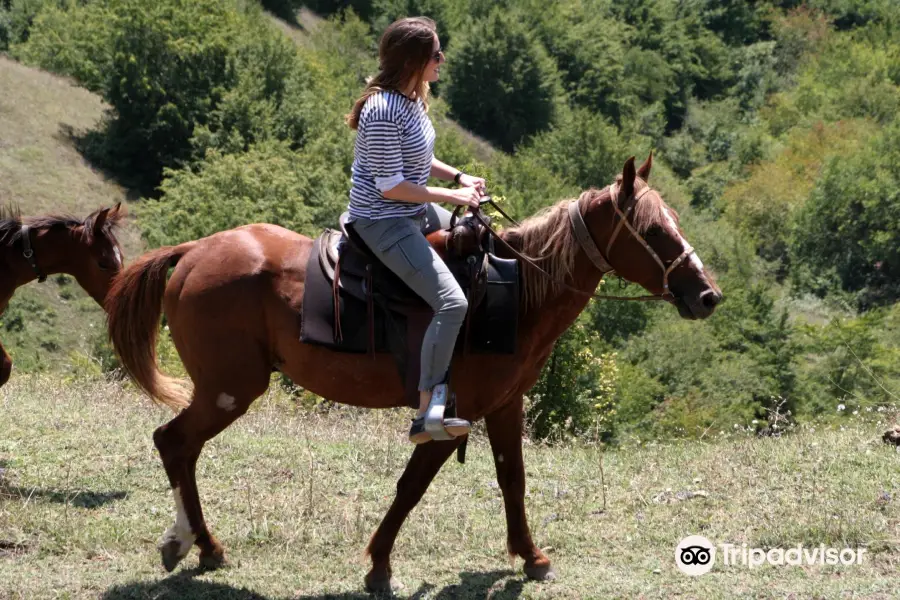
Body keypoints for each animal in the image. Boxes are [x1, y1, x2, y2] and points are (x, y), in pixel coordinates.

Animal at [107, 155, 724, 592]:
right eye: (654, 230)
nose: (708, 296)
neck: (515, 295)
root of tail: (193, 252)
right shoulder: (450, 417)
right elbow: (411, 488)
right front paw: (379, 565)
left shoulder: (505, 407)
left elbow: (513, 480)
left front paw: (531, 556)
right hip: (229, 390)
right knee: (174, 442)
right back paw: (196, 544)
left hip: (224, 390)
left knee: (180, 447)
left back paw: (197, 544)